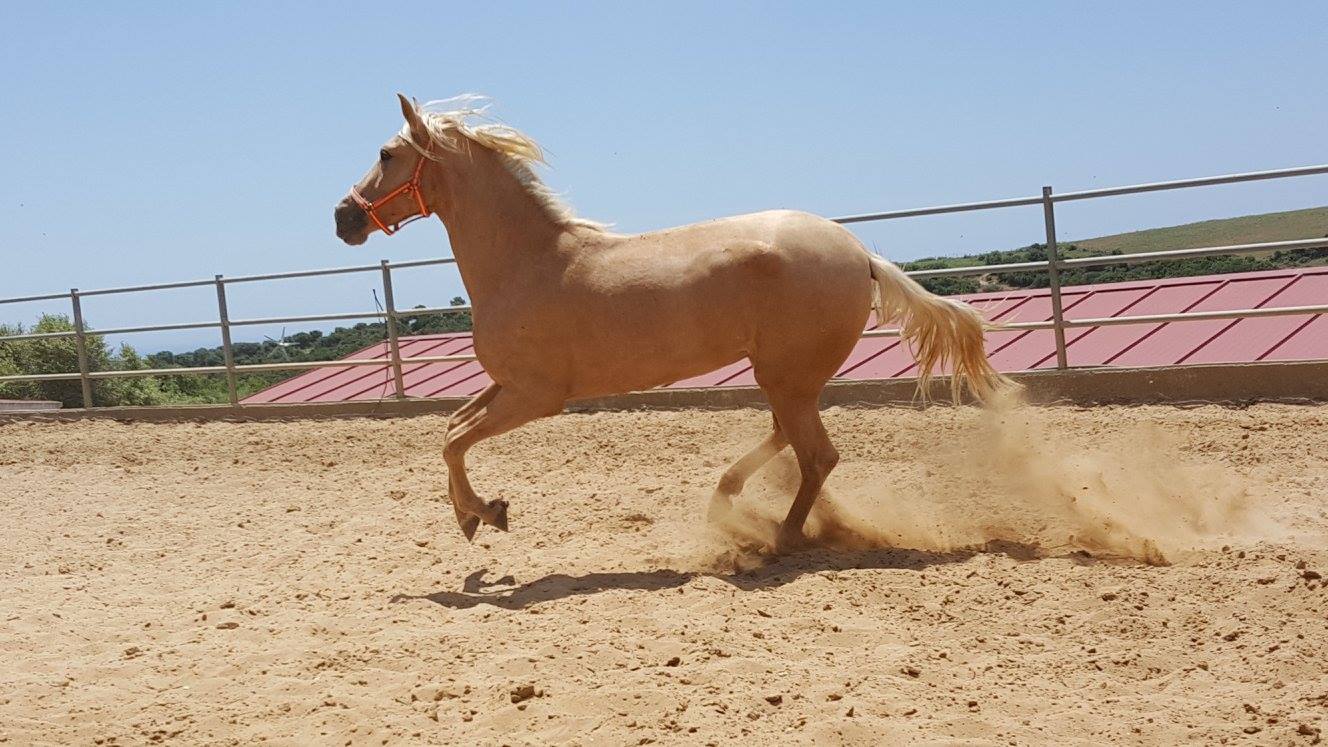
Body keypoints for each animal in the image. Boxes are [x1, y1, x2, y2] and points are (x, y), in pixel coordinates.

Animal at [334, 94, 1010, 552]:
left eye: (386, 154)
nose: (344, 217)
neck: (528, 262)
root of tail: (861, 255)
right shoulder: (508, 385)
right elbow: (451, 428)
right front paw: (474, 516)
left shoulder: (536, 396)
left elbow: (454, 439)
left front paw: (485, 513)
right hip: (784, 378)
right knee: (790, 440)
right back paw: (728, 499)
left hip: (788, 377)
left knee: (817, 456)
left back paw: (777, 539)